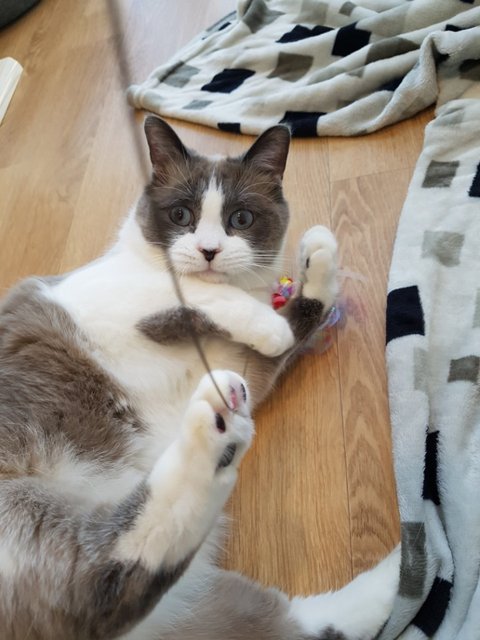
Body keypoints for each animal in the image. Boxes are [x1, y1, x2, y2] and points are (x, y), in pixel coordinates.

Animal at [0, 116, 400, 640]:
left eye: (241, 219)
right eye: (181, 215)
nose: (209, 250)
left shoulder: (245, 366)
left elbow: (295, 322)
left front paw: (318, 258)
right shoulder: (125, 297)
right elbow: (198, 292)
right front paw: (268, 317)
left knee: (298, 622)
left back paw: (415, 560)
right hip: (22, 512)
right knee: (97, 580)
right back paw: (217, 430)